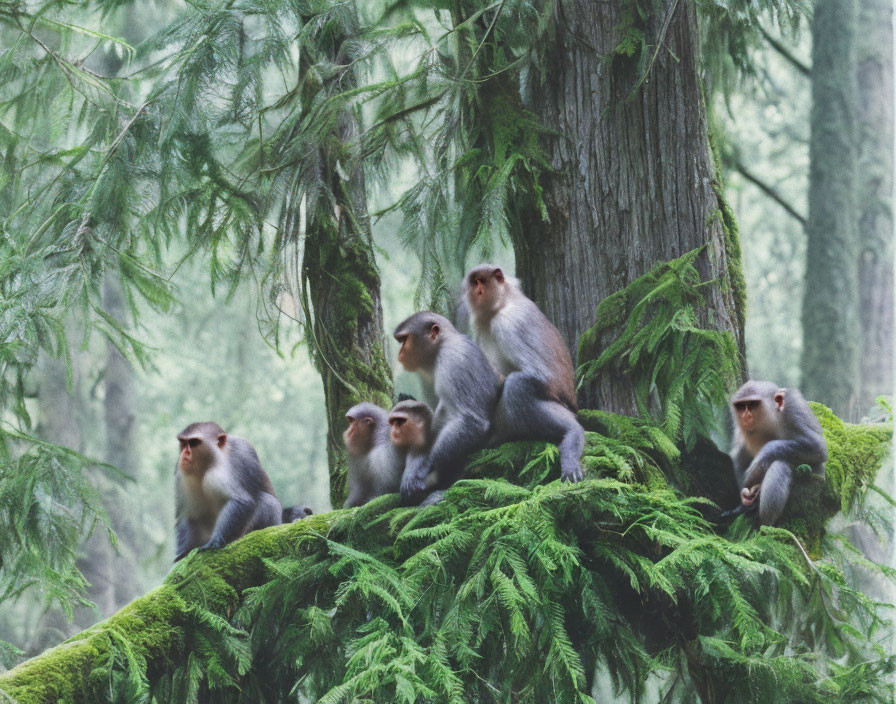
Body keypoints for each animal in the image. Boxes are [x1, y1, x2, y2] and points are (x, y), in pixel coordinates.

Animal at [175, 420, 284, 564]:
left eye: (193, 443)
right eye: (183, 442)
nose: (184, 455)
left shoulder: (223, 471)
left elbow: (241, 501)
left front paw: (216, 541)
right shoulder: (181, 474)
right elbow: (188, 514)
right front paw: (183, 553)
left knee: (268, 502)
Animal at [394, 310, 500, 504]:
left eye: (405, 339)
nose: (400, 352)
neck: (441, 346)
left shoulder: (454, 358)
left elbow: (471, 419)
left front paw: (423, 471)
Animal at [462, 264, 588, 484]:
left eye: (481, 281)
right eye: (473, 282)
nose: (477, 291)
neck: (502, 302)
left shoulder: (508, 322)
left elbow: (541, 375)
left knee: (517, 385)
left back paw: (570, 432)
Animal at [724, 382, 828, 524]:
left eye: (752, 404)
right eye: (740, 406)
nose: (745, 415)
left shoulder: (792, 410)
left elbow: (818, 448)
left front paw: (762, 458)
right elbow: (739, 460)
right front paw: (744, 498)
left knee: (780, 465)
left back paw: (764, 521)